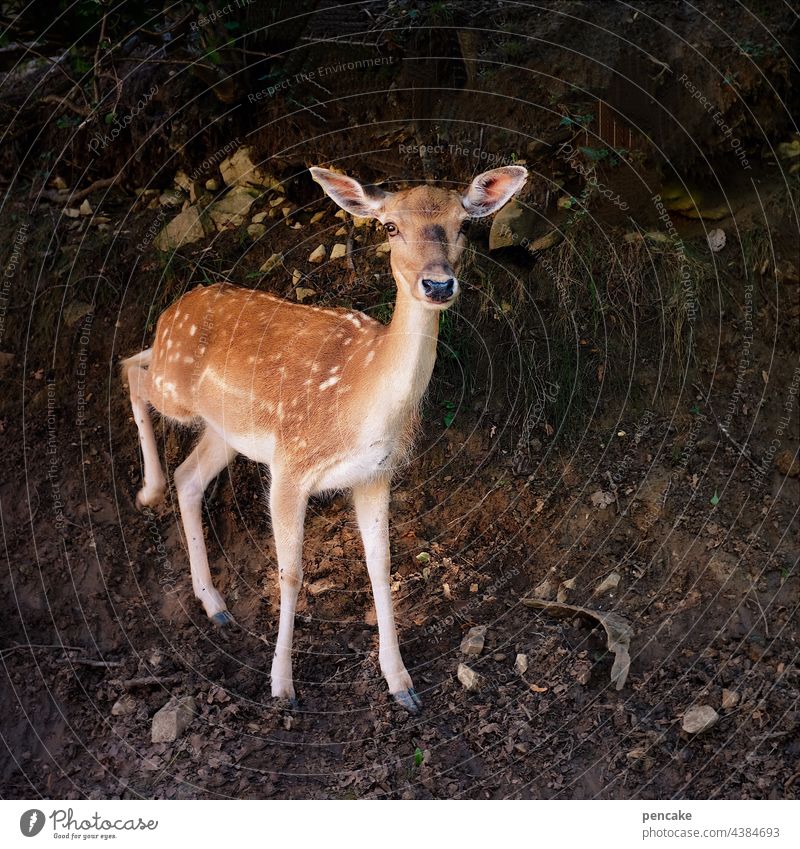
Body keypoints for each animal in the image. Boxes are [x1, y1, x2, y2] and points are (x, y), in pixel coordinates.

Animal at [123, 164, 524, 708]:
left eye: (463, 224)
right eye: (390, 226)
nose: (439, 284)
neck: (364, 406)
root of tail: (171, 310)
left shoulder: (374, 475)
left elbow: (381, 565)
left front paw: (401, 683)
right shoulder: (291, 465)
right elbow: (290, 573)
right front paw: (282, 685)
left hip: (226, 431)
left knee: (188, 473)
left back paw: (215, 603)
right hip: (176, 386)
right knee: (130, 369)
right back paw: (148, 490)